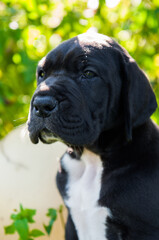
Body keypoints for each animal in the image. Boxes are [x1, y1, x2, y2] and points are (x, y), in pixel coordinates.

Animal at [27, 32, 159, 240]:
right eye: (42, 74)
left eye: (88, 74)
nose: (41, 104)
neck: (92, 160)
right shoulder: (71, 224)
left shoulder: (144, 229)